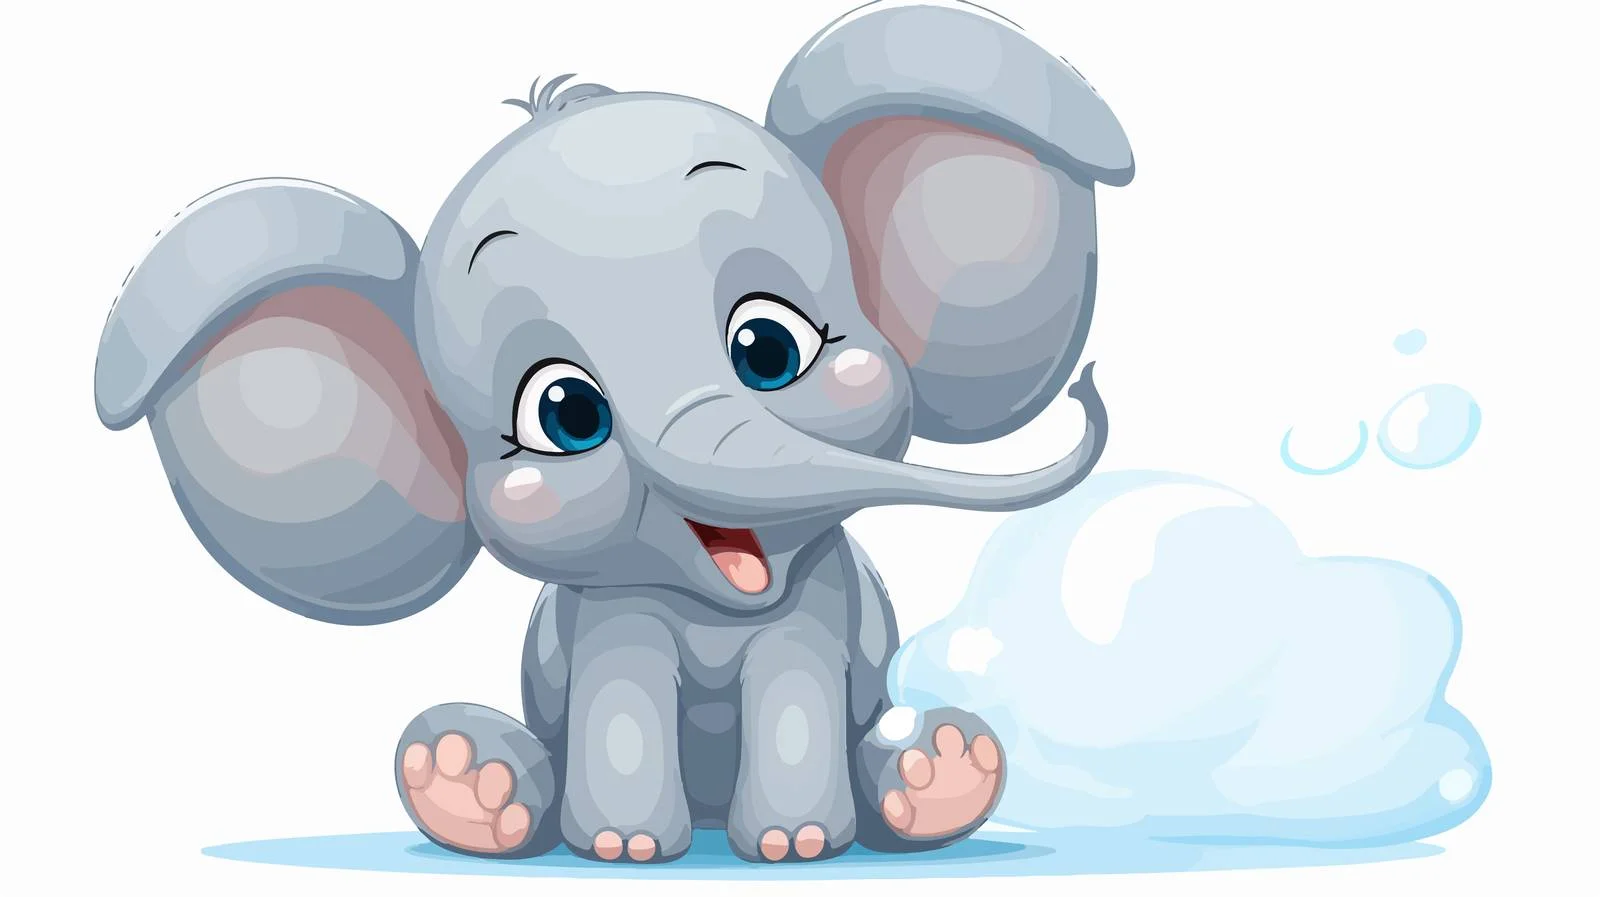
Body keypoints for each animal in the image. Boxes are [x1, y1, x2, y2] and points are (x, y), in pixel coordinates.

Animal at [91, 0, 1132, 864]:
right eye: (566, 415)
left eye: (768, 348)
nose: (1091, 386)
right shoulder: (610, 613)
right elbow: (619, 685)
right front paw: (624, 849)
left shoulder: (816, 605)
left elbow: (792, 674)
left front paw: (791, 846)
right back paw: (467, 782)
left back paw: (939, 771)